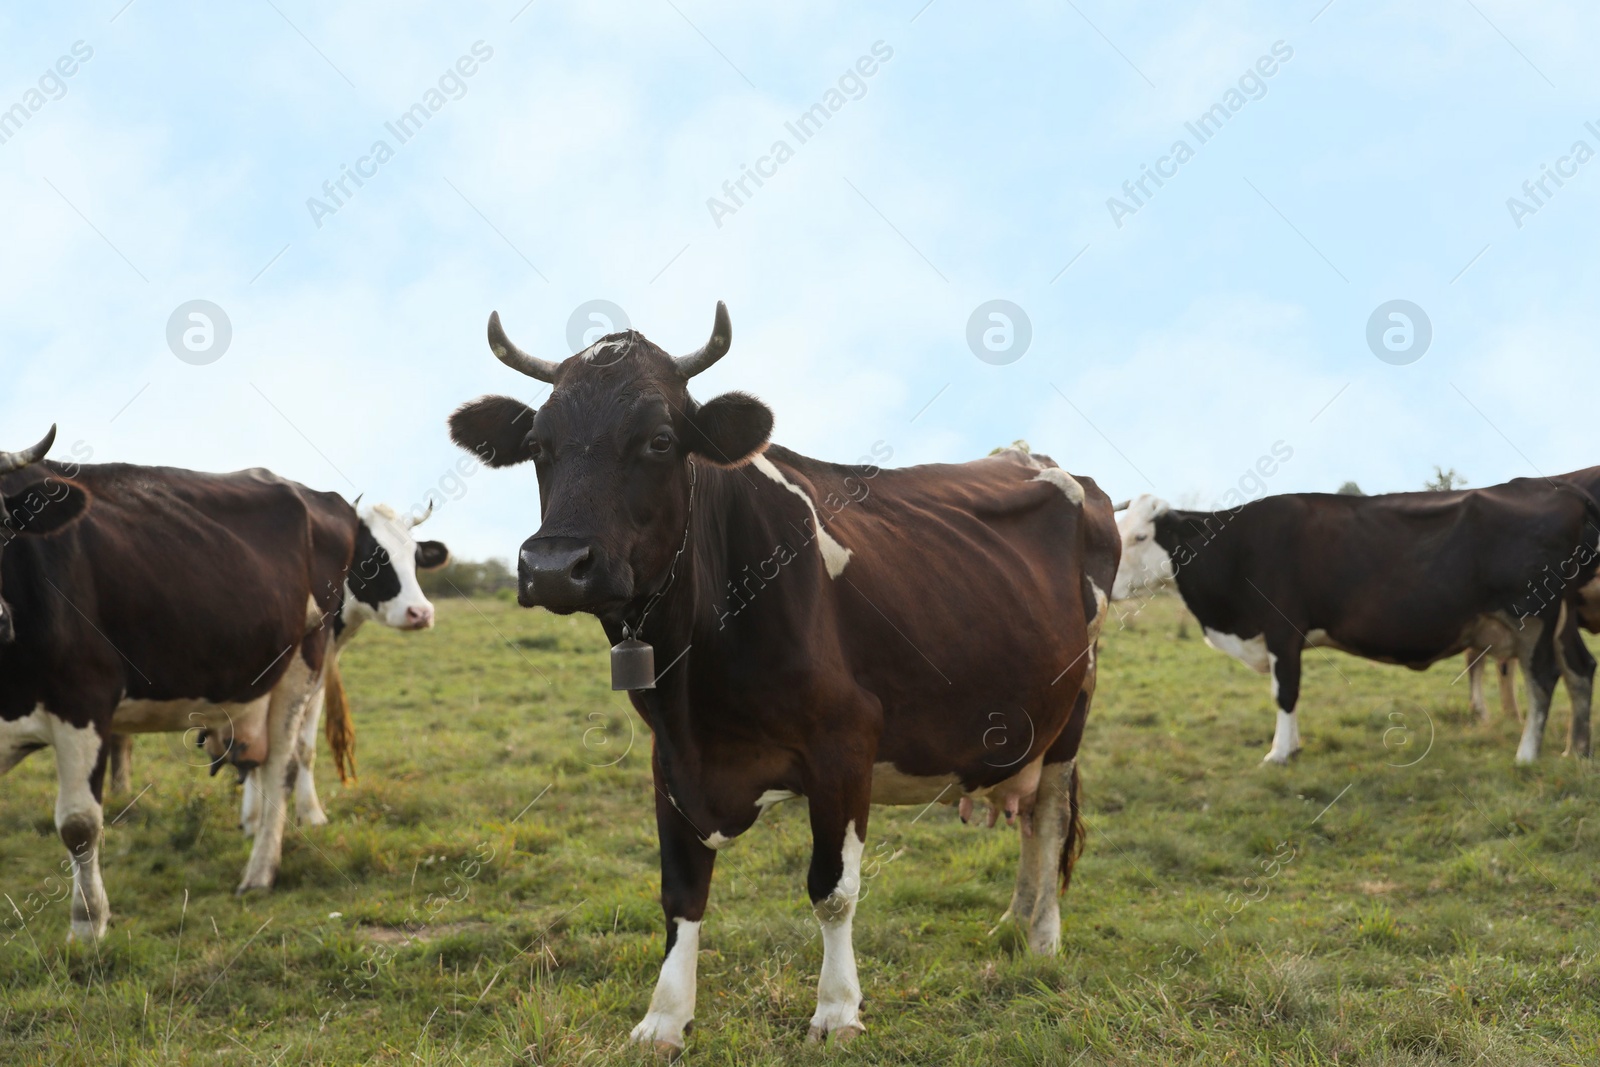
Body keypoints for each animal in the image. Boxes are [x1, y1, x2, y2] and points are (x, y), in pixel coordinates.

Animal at [0, 438, 444, 940]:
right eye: (377, 556)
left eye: (413, 557)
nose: (421, 612)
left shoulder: (84, 699)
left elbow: (78, 823)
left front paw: (87, 926)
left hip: (297, 667)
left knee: (281, 765)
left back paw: (260, 872)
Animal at [444, 302, 1120, 1049]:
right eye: (539, 443)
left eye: (658, 440)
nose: (556, 566)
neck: (696, 682)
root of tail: (1034, 458)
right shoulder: (670, 757)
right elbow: (680, 892)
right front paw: (664, 1015)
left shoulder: (846, 741)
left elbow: (832, 889)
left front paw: (837, 1008)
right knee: (1028, 823)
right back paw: (1011, 925)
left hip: (1071, 712)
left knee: (1050, 821)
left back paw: (1044, 940)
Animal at [1113, 483, 1600, 767]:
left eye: (1140, 536)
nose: (1107, 583)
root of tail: (1559, 491)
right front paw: (1293, 746)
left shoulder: (1282, 630)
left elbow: (1284, 692)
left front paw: (1279, 752)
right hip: (1554, 620)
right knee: (1578, 669)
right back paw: (1574, 750)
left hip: (1531, 616)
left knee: (1543, 677)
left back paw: (1527, 755)